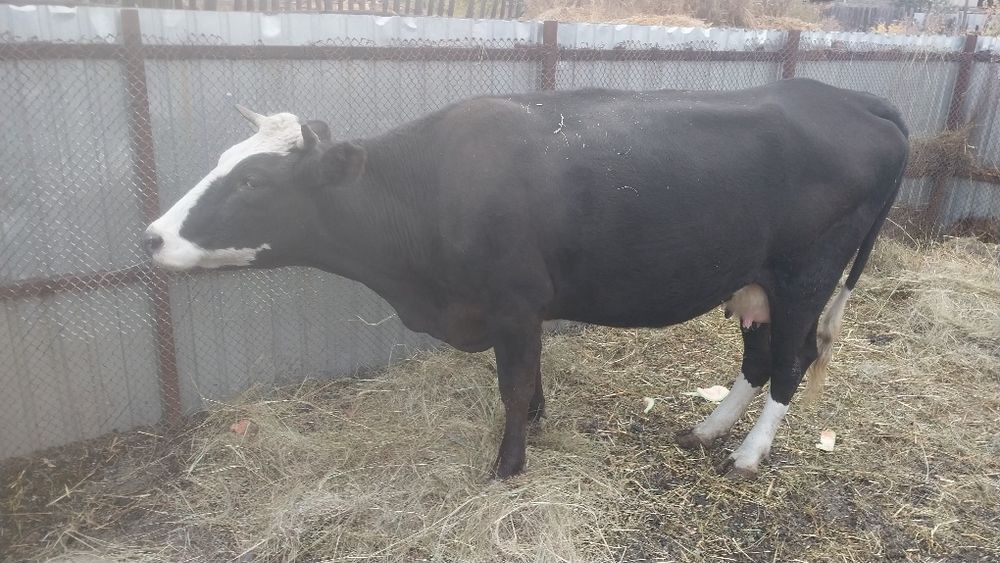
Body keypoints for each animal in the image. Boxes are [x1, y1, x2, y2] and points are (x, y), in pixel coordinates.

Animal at [143, 77, 909, 480]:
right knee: (757, 357)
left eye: (252, 181)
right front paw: (538, 422)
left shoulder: (511, 303)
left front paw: (507, 463)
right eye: (226, 162)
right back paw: (706, 428)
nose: (151, 236)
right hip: (752, 285)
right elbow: (531, 376)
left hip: (806, 276)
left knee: (791, 361)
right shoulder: (523, 310)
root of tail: (844, 95)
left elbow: (511, 383)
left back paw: (747, 454)